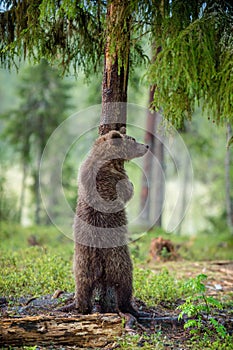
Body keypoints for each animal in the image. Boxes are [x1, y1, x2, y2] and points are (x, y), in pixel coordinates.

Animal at [73, 130, 148, 316]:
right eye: (133, 140)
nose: (147, 145)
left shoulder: (83, 170)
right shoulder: (113, 178)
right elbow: (126, 189)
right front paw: (132, 185)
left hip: (81, 264)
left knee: (82, 287)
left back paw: (82, 307)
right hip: (118, 259)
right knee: (125, 283)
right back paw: (132, 308)